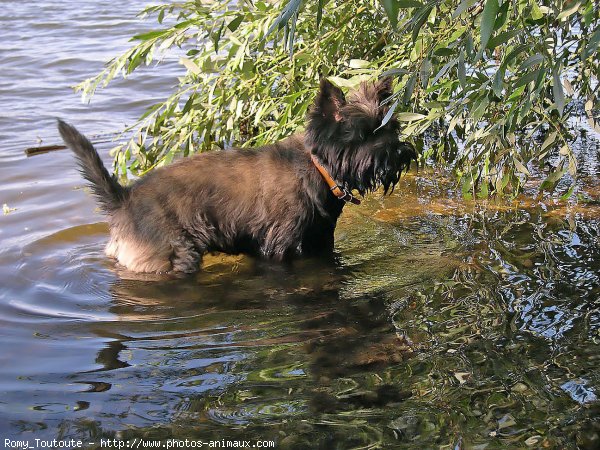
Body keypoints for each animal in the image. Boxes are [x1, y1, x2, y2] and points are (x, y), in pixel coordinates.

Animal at [59, 78, 418, 272]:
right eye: (365, 135)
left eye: (391, 128)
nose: (403, 152)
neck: (318, 168)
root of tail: (124, 199)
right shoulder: (279, 246)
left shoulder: (319, 242)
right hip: (173, 256)